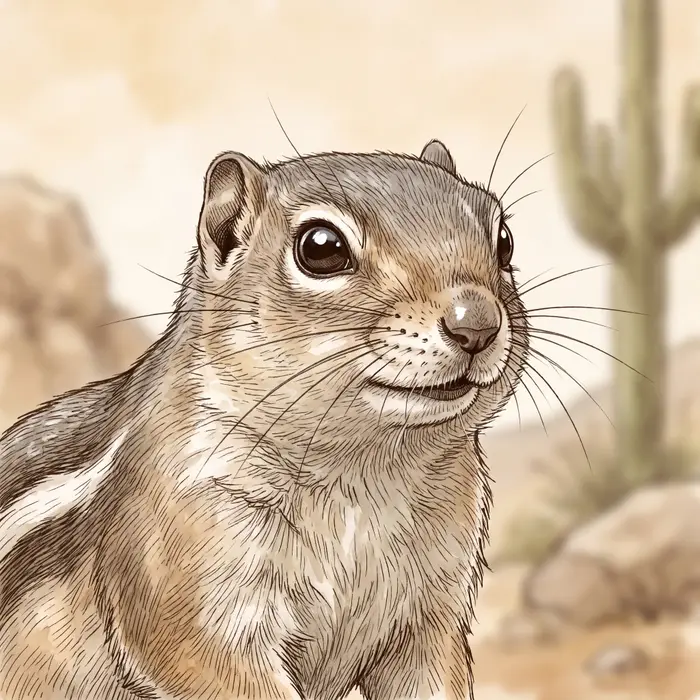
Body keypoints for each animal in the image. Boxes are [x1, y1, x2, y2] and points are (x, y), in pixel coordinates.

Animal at [0, 139, 528, 700]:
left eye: (504, 241)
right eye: (321, 248)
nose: (476, 323)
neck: (365, 472)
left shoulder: (433, 614)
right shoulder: (185, 577)